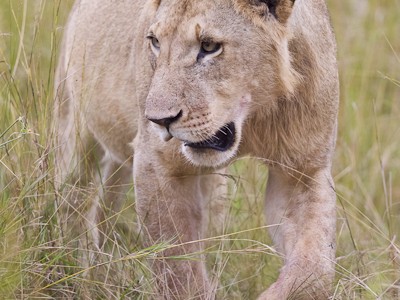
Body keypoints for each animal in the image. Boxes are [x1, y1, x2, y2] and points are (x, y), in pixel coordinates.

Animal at [54, 0, 340, 298]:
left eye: (209, 46)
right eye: (155, 41)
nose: (159, 120)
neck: (253, 117)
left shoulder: (301, 172)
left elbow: (314, 268)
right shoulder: (158, 165)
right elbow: (177, 268)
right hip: (72, 127)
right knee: (73, 201)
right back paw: (79, 270)